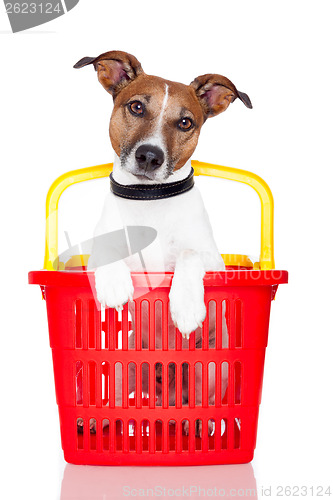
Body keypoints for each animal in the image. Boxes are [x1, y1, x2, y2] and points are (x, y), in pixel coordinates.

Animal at [74, 48, 250, 436]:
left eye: (185, 123)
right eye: (137, 107)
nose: (150, 156)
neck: (149, 199)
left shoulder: (211, 261)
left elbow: (188, 254)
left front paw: (185, 306)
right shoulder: (94, 257)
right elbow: (107, 251)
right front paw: (114, 286)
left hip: (208, 369)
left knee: (201, 408)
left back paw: (196, 428)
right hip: (124, 363)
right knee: (117, 400)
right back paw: (96, 418)